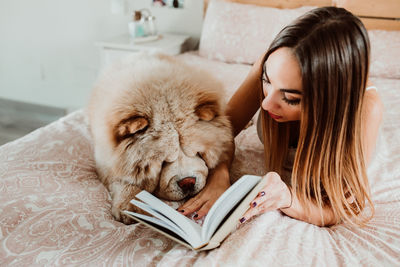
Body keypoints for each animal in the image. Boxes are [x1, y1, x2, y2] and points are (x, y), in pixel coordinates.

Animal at [87, 52, 231, 224]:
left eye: (197, 153)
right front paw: (129, 205)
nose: (187, 182)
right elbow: (122, 179)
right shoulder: (105, 160)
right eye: (163, 162)